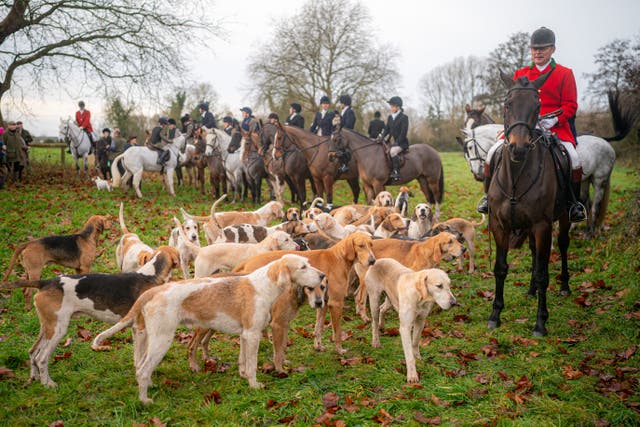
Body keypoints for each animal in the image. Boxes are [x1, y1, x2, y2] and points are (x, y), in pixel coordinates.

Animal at [456, 123, 616, 239]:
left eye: (470, 147)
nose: (477, 175)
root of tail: (608, 145)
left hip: (599, 180)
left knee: (594, 206)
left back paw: (589, 233)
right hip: (584, 181)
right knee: (585, 203)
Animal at [488, 70, 572, 338]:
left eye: (537, 106)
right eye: (507, 104)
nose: (519, 147)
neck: (516, 174)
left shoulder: (542, 225)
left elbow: (545, 273)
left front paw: (540, 322)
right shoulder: (499, 224)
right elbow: (500, 268)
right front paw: (495, 315)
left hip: (564, 217)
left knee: (563, 244)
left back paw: (565, 286)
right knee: (535, 253)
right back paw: (531, 289)